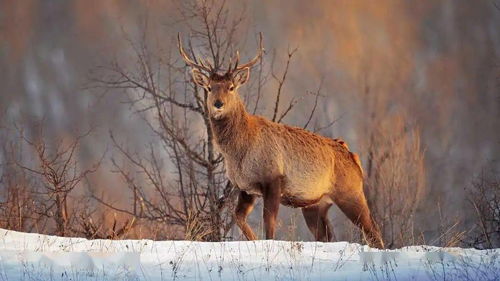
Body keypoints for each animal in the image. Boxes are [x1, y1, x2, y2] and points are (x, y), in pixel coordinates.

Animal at [178, 32, 384, 247]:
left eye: (231, 87)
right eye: (209, 88)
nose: (218, 104)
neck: (238, 152)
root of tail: (353, 156)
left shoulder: (272, 178)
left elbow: (269, 224)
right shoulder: (246, 187)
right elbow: (239, 217)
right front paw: (253, 241)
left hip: (350, 192)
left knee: (373, 232)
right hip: (315, 204)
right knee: (327, 235)